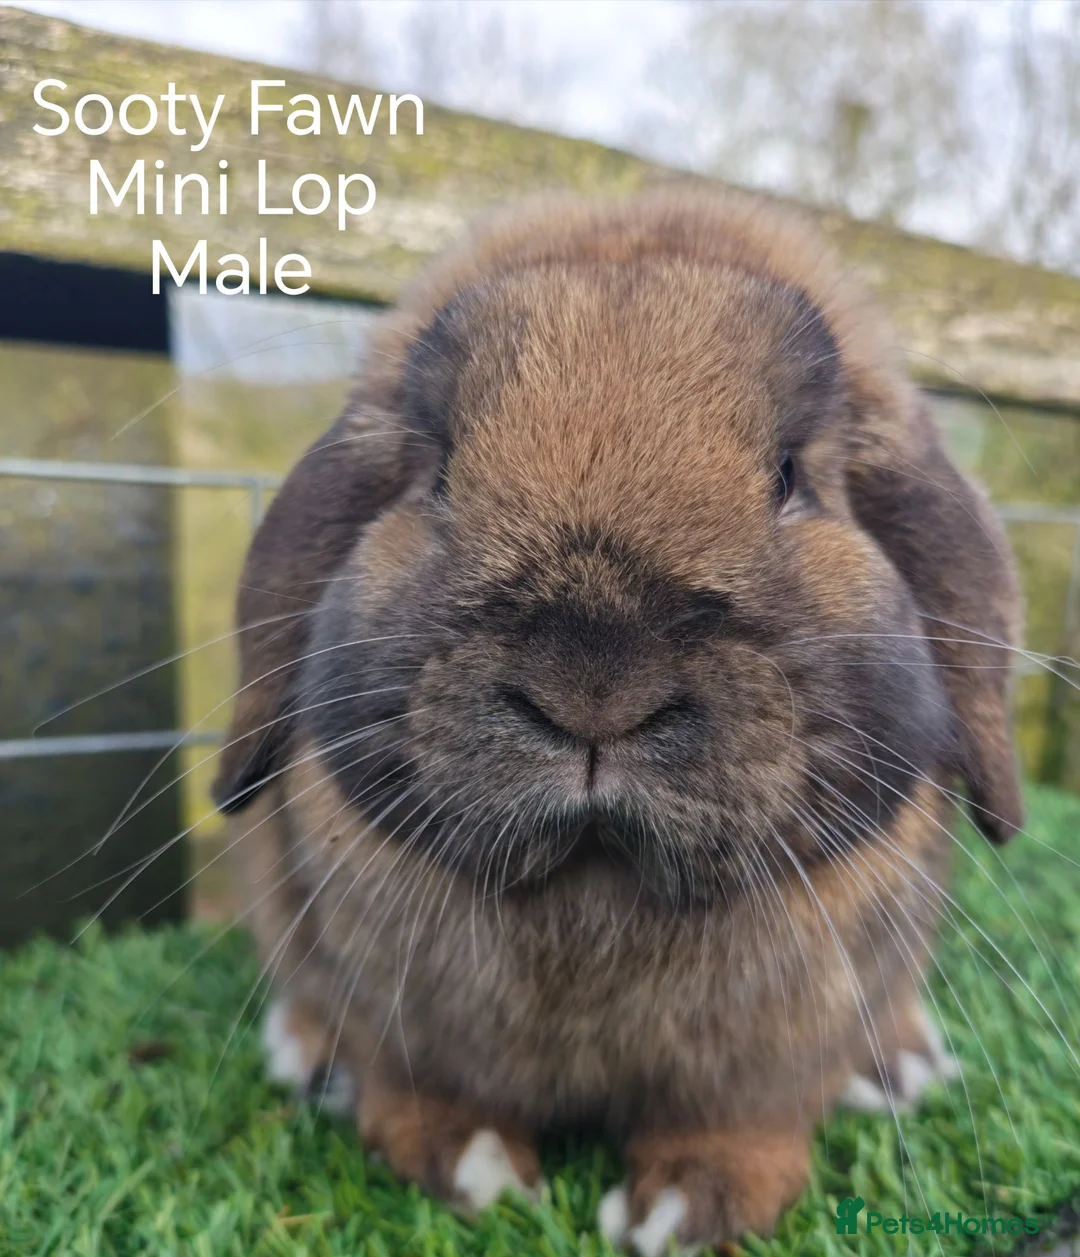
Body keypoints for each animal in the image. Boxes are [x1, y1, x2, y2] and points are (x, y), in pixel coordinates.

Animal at [213, 190, 1022, 1254]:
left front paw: (684, 1211)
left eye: (789, 475)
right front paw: (473, 1168)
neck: (598, 891)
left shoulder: (768, 1059)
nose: (592, 682)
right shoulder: (395, 1010)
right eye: (438, 473)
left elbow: (743, 1122)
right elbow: (418, 1088)